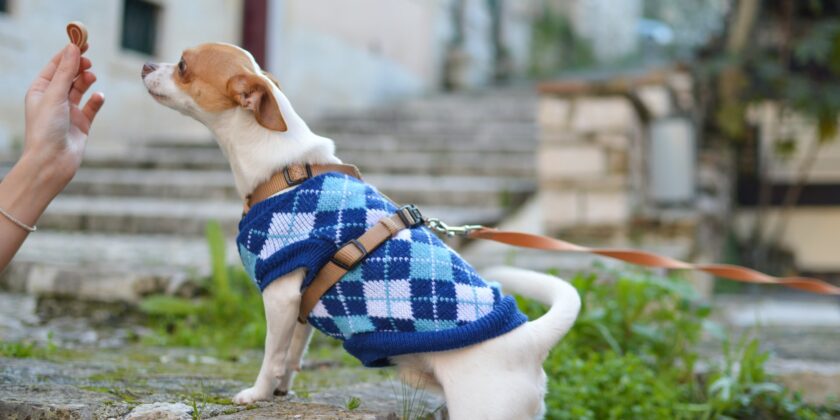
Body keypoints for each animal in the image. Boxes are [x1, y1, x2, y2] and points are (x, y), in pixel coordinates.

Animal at [141, 43, 580, 420]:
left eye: (183, 65)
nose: (145, 65)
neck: (286, 170)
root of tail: (530, 340)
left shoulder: (279, 295)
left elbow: (271, 355)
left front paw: (258, 394)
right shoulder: (300, 306)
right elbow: (292, 355)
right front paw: (282, 390)